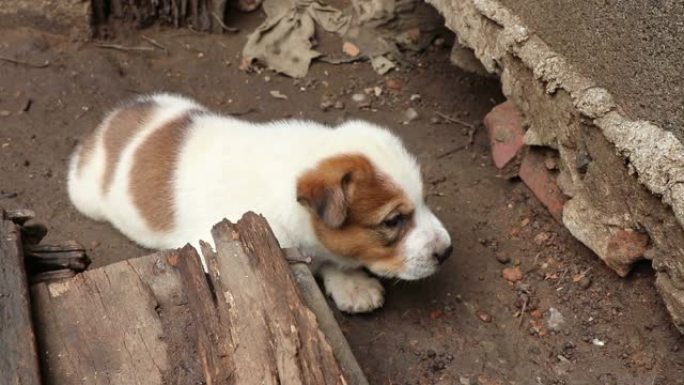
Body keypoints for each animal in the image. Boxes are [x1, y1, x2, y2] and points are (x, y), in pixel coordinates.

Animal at [68, 93, 454, 312]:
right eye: (393, 221)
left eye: (424, 200)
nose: (447, 251)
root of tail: (114, 117)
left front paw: (351, 282)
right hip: (85, 193)